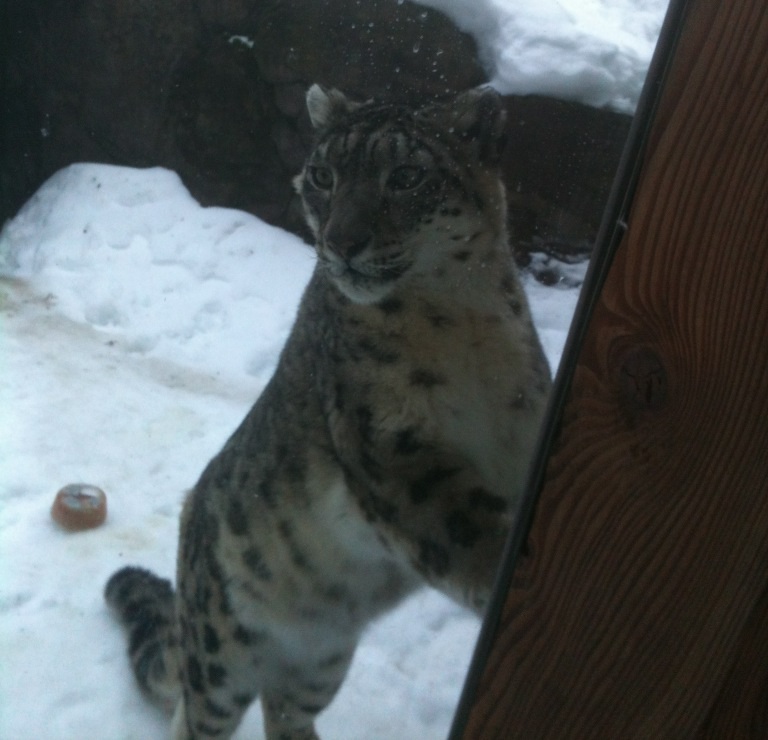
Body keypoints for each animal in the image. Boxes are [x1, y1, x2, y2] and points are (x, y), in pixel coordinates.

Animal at [105, 83, 552, 740]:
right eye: (322, 174)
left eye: (407, 176)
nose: (341, 241)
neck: (463, 325)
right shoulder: (393, 454)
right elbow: (473, 536)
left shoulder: (523, 431)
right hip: (220, 656)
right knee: (198, 709)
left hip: (319, 662)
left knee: (284, 710)